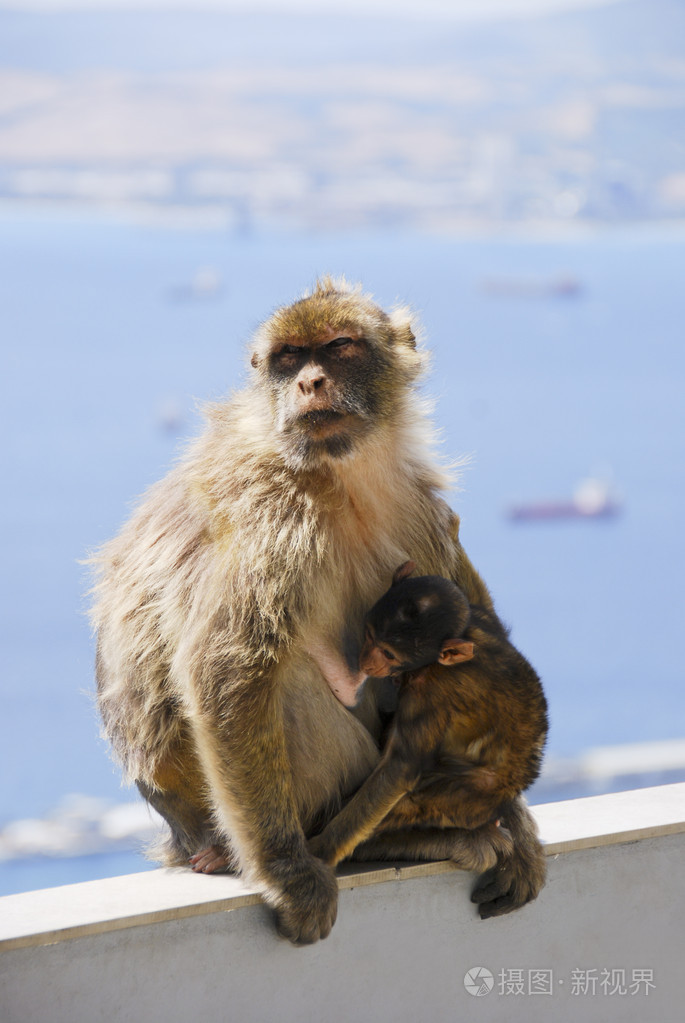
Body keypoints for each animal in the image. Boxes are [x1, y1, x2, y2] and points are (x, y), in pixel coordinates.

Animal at [308, 560, 552, 912]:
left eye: (388, 653)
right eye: (369, 635)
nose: (367, 661)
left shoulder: (429, 696)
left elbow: (400, 771)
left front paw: (322, 849)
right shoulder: (478, 616)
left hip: (469, 796)